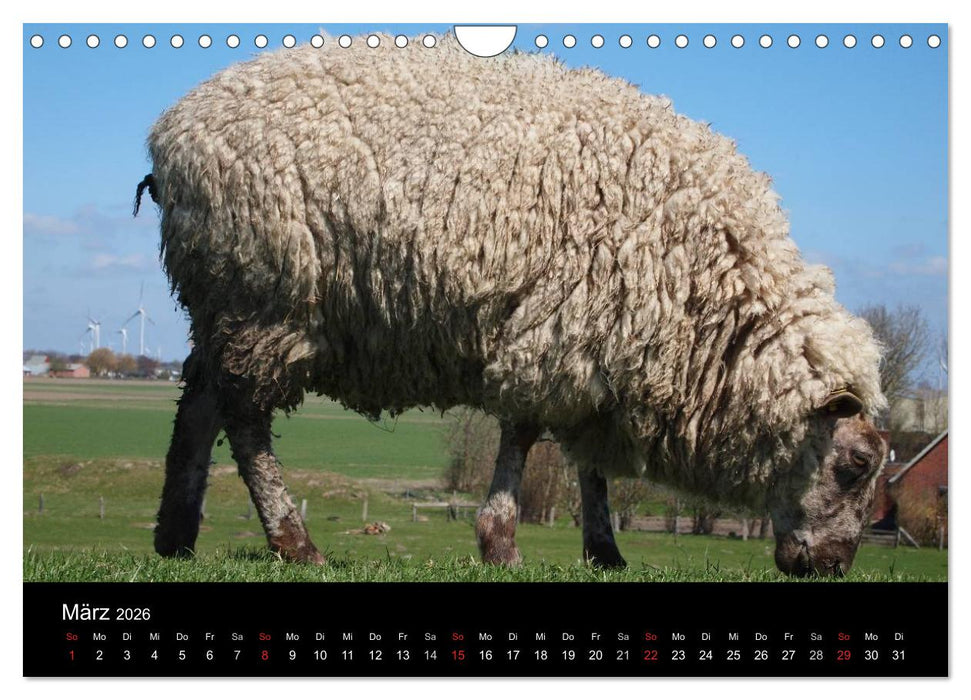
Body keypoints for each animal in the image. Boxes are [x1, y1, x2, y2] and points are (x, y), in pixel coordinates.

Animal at [140, 33, 887, 576]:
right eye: (853, 468)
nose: (833, 567)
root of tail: (173, 129)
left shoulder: (603, 343)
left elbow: (587, 463)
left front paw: (604, 552)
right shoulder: (560, 331)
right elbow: (526, 438)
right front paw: (500, 541)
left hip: (224, 299)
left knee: (199, 399)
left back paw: (175, 536)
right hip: (265, 294)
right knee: (244, 418)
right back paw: (292, 542)